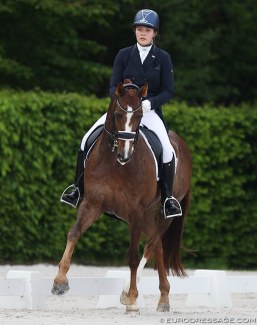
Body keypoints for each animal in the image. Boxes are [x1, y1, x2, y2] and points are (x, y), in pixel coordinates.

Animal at [51, 79, 191, 312]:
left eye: (139, 116)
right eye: (117, 114)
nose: (124, 155)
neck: (115, 165)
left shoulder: (135, 213)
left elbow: (133, 256)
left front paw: (132, 298)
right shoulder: (92, 204)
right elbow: (74, 233)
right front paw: (60, 282)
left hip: (162, 214)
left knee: (152, 245)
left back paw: (133, 293)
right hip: (148, 216)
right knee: (158, 247)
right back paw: (163, 298)